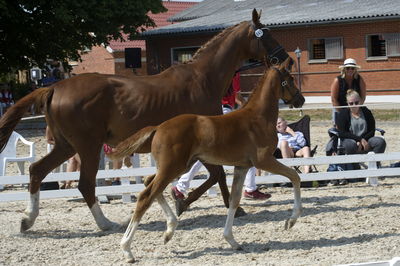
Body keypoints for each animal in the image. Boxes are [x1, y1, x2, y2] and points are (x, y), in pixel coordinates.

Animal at [0, 9, 290, 232]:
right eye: (266, 34)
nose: (286, 58)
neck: (202, 79)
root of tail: (54, 87)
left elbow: (214, 174)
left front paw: (197, 202)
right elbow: (216, 173)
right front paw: (195, 203)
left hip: (65, 145)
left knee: (36, 170)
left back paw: (28, 220)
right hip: (88, 146)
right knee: (85, 184)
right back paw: (106, 223)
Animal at [109, 57, 304, 262]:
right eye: (290, 79)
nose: (301, 99)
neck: (258, 117)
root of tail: (158, 127)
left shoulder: (242, 167)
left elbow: (234, 200)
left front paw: (231, 240)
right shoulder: (263, 160)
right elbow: (295, 177)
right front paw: (291, 221)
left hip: (175, 167)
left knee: (149, 184)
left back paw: (170, 229)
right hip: (172, 167)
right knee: (146, 196)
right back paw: (127, 249)